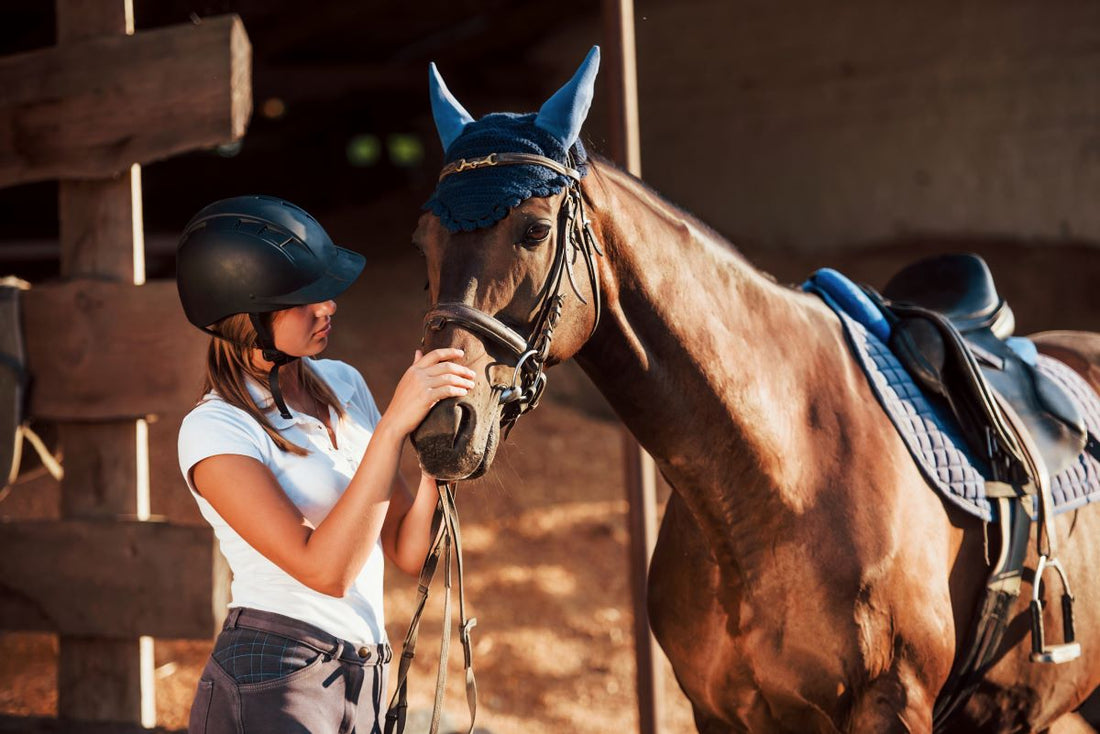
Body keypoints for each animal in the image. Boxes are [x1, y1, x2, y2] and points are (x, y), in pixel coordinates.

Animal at [408, 47, 1100, 733]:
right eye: (424, 241)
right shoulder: (715, 710)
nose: (442, 425)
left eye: (533, 230)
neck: (782, 476)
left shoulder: (893, 704)